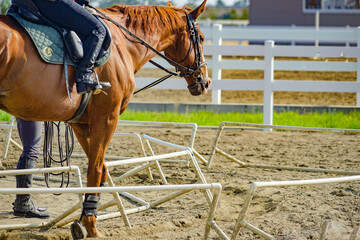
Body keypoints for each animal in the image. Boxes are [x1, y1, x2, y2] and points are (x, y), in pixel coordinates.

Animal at [0, 0, 211, 238]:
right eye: (201, 38)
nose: (205, 81)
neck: (123, 44)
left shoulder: (81, 123)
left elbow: (100, 169)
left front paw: (85, 218)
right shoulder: (107, 118)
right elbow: (97, 170)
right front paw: (90, 226)